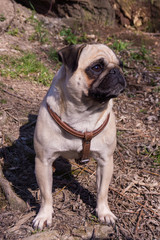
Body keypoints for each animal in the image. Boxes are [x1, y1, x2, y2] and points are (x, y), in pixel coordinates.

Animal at [32, 43, 126, 229]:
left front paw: (104, 212)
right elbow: (46, 195)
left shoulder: (105, 162)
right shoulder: (43, 162)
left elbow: (102, 191)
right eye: (97, 67)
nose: (116, 71)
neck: (84, 113)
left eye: (120, 65)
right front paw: (44, 215)